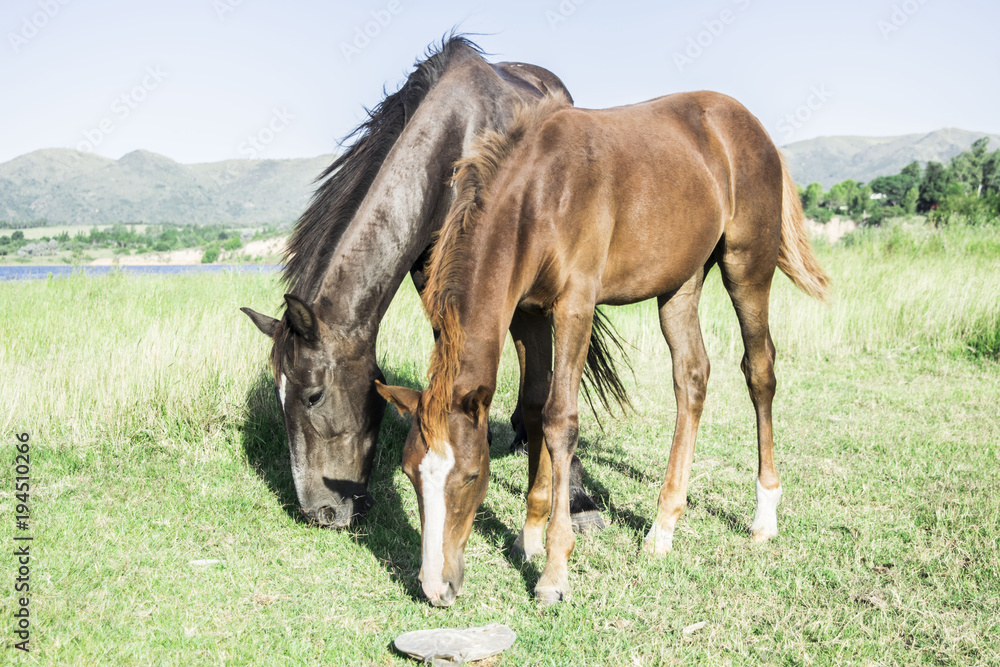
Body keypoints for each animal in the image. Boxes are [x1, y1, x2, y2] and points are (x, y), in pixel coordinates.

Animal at [240, 38, 624, 530]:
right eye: (278, 396)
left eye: (313, 396)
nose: (319, 513)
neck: (456, 143)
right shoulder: (437, 284)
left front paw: (577, 500)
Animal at [376, 90, 831, 606]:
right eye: (410, 474)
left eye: (471, 476)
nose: (436, 587)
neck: (541, 195)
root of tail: (752, 126)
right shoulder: (528, 313)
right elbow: (533, 408)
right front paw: (529, 538)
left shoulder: (576, 305)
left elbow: (560, 420)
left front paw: (554, 573)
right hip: (680, 283)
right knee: (691, 377)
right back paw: (662, 527)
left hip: (747, 266)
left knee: (759, 371)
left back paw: (764, 515)